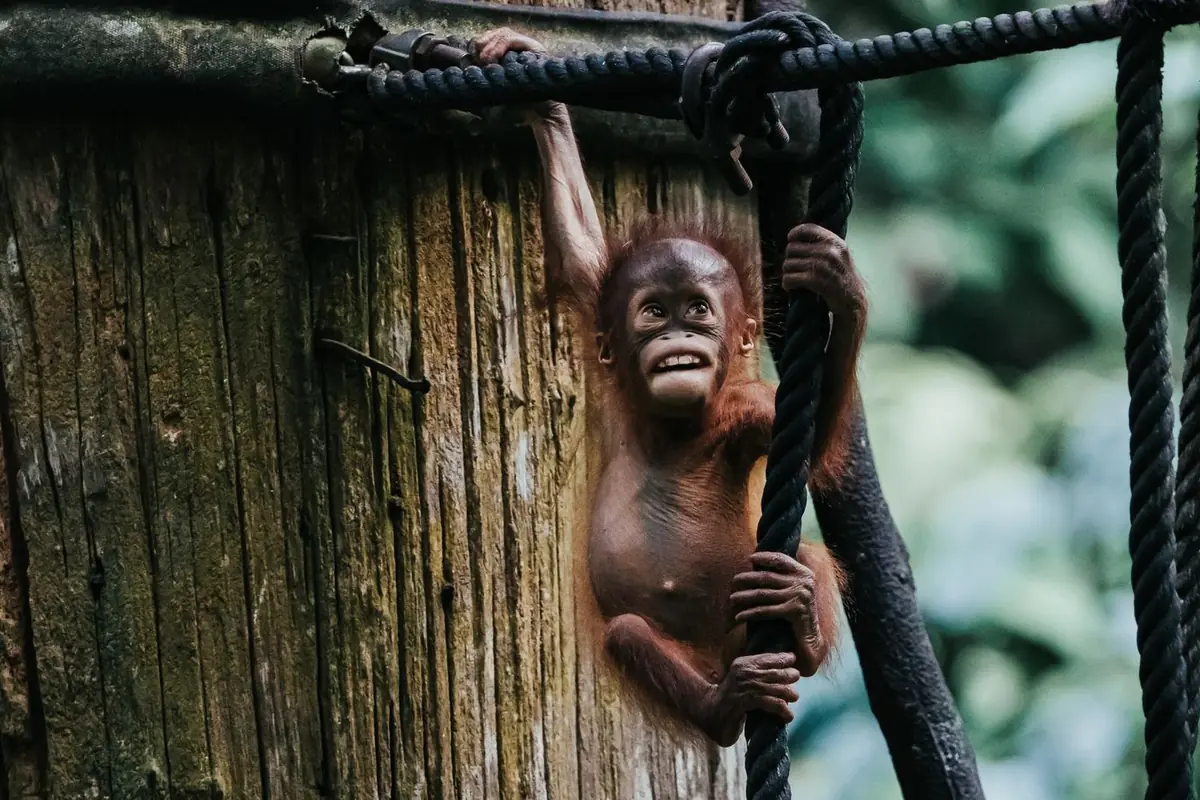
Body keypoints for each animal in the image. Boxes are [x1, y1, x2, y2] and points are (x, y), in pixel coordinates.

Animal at [472, 28, 867, 747]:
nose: (680, 340)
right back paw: (725, 707)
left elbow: (816, 434)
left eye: (700, 311)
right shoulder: (608, 356)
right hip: (686, 658)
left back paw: (798, 616)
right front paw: (541, 99)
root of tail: (716, 661)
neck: (679, 424)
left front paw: (840, 286)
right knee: (632, 634)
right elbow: (580, 248)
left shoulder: (746, 411)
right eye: (655, 311)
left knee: (807, 562)